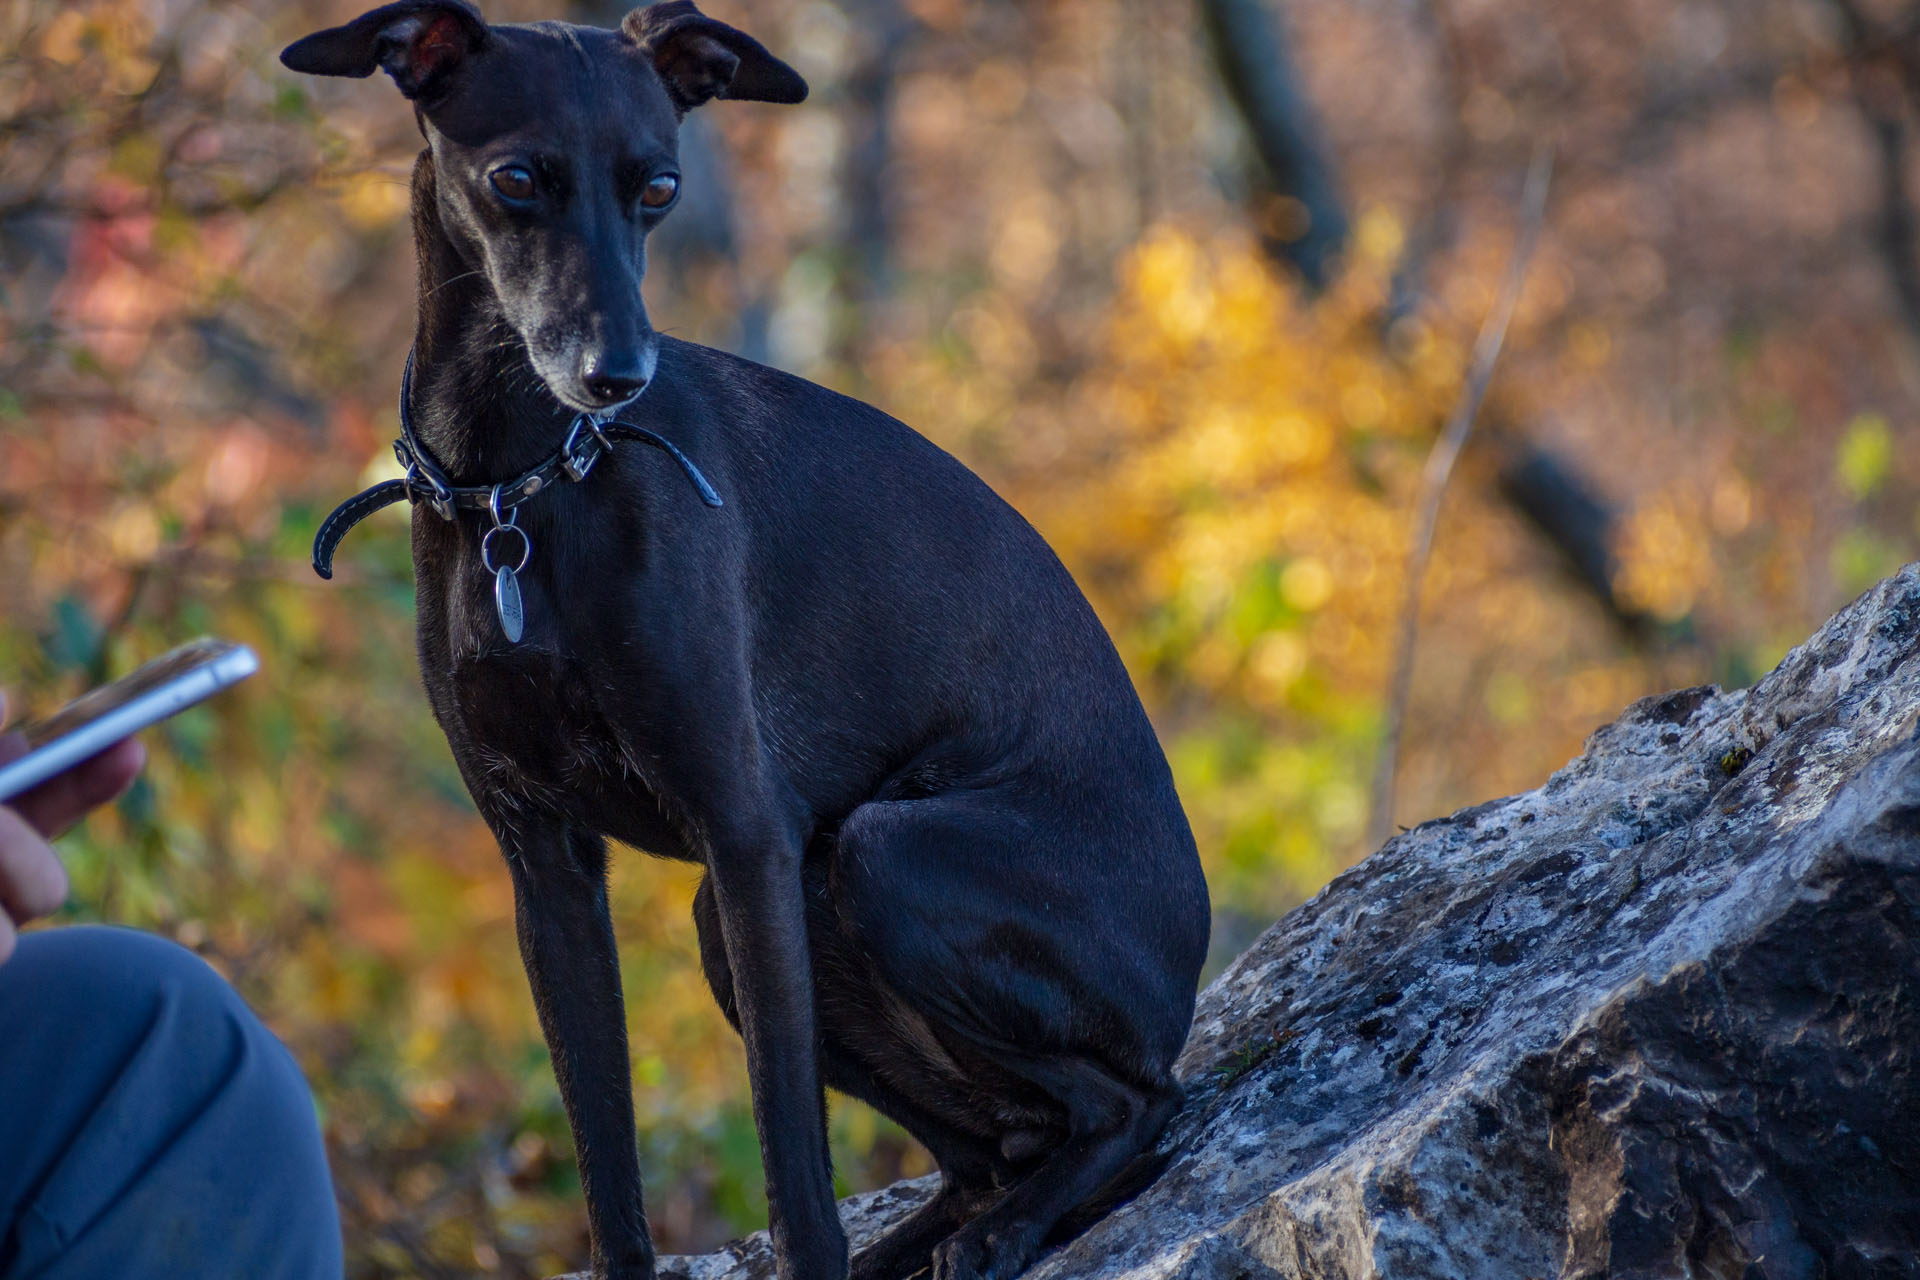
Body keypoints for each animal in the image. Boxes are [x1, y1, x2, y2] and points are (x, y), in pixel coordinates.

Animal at [278, 5, 1205, 1274]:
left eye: (659, 186)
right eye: (516, 178)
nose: (616, 377)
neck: (520, 483)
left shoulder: (746, 835)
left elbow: (792, 1162)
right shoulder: (547, 869)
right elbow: (605, 1158)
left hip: (879, 859)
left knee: (1134, 1101)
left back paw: (1014, 1226)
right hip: (758, 920)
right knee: (997, 1145)